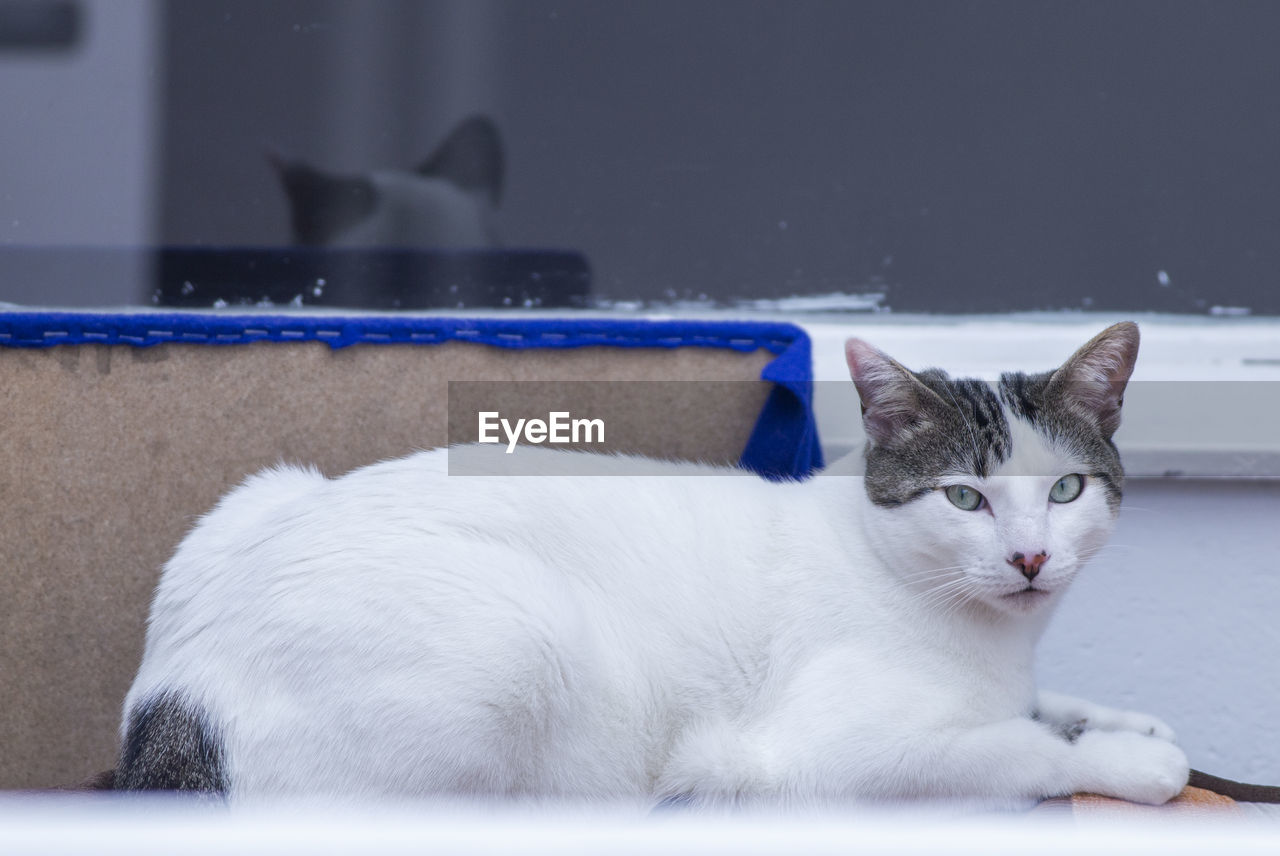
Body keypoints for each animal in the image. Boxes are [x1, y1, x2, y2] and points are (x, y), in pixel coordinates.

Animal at [115, 322, 1182, 808]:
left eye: (1066, 491)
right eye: (964, 498)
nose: (1031, 555)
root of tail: (174, 704)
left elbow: (1042, 709)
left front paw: (1126, 720)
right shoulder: (825, 754)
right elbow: (1017, 747)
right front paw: (1134, 761)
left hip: (253, 495)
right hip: (518, 638)